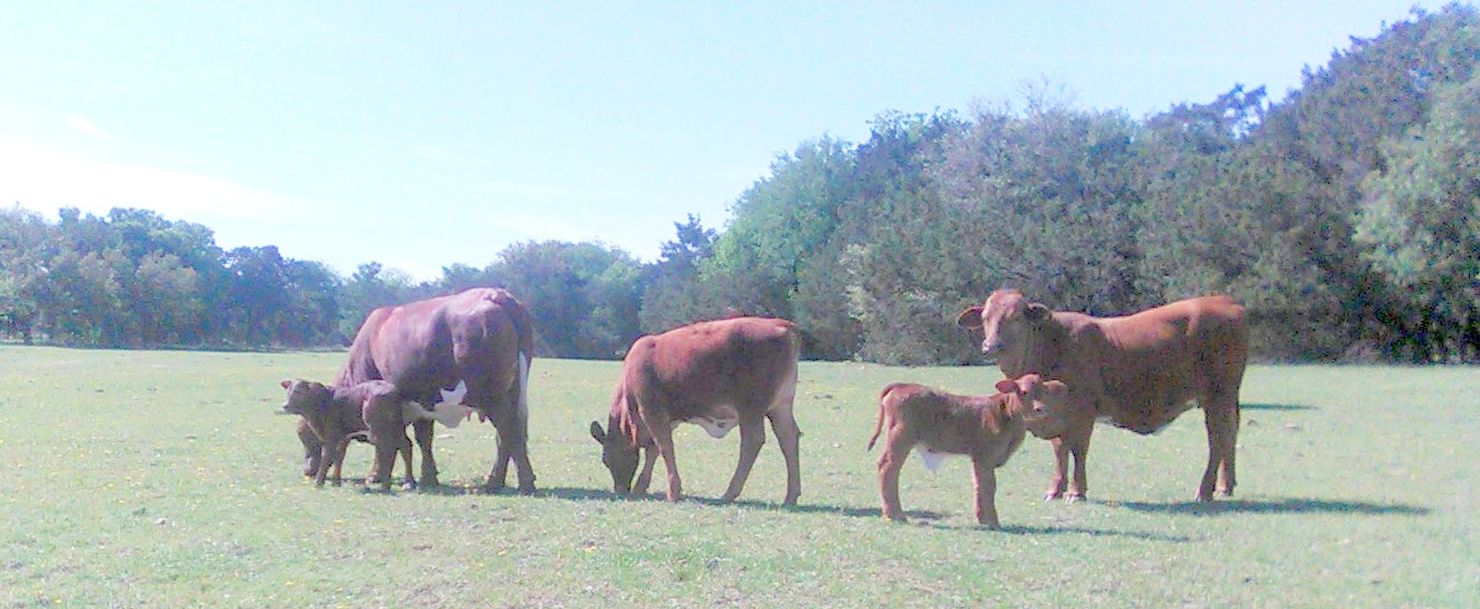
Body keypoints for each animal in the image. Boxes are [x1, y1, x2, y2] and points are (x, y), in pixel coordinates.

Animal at [335, 288, 538, 494]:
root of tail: (496, 294)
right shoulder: (424, 403)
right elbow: (424, 438)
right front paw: (428, 476)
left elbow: (388, 441)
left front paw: (375, 476)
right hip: (512, 394)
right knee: (505, 437)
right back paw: (496, 482)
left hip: (493, 398)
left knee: (510, 431)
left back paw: (522, 483)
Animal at [586, 320, 805, 506]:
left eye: (606, 459)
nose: (620, 490)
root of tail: (781, 324)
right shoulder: (667, 418)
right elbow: (654, 450)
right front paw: (642, 487)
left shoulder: (651, 411)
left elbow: (665, 447)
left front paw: (673, 492)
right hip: (780, 407)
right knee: (788, 438)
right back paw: (790, 496)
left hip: (750, 407)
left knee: (752, 442)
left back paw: (729, 493)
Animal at [959, 290, 1249, 506]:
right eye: (985, 317)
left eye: (1017, 317)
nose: (991, 346)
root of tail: (1225, 301)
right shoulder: (1055, 415)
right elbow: (1060, 450)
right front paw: (1055, 489)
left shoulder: (1083, 411)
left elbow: (1078, 450)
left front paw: (1076, 491)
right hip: (1224, 398)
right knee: (1229, 435)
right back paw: (1226, 486)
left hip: (1217, 395)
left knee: (1218, 439)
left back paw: (1205, 490)